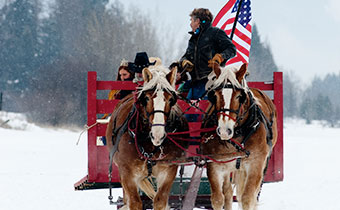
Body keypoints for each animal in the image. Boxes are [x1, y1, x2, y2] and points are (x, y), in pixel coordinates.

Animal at [105, 65, 189, 210]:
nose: (157, 134)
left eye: (170, 99)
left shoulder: (168, 170)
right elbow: (135, 203)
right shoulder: (127, 172)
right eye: (147, 98)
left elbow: (160, 201)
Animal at [202, 64, 276, 210]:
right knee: (228, 192)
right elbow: (218, 199)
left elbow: (247, 198)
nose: (224, 130)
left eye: (239, 96)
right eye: (215, 95)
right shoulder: (215, 165)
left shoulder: (256, 164)